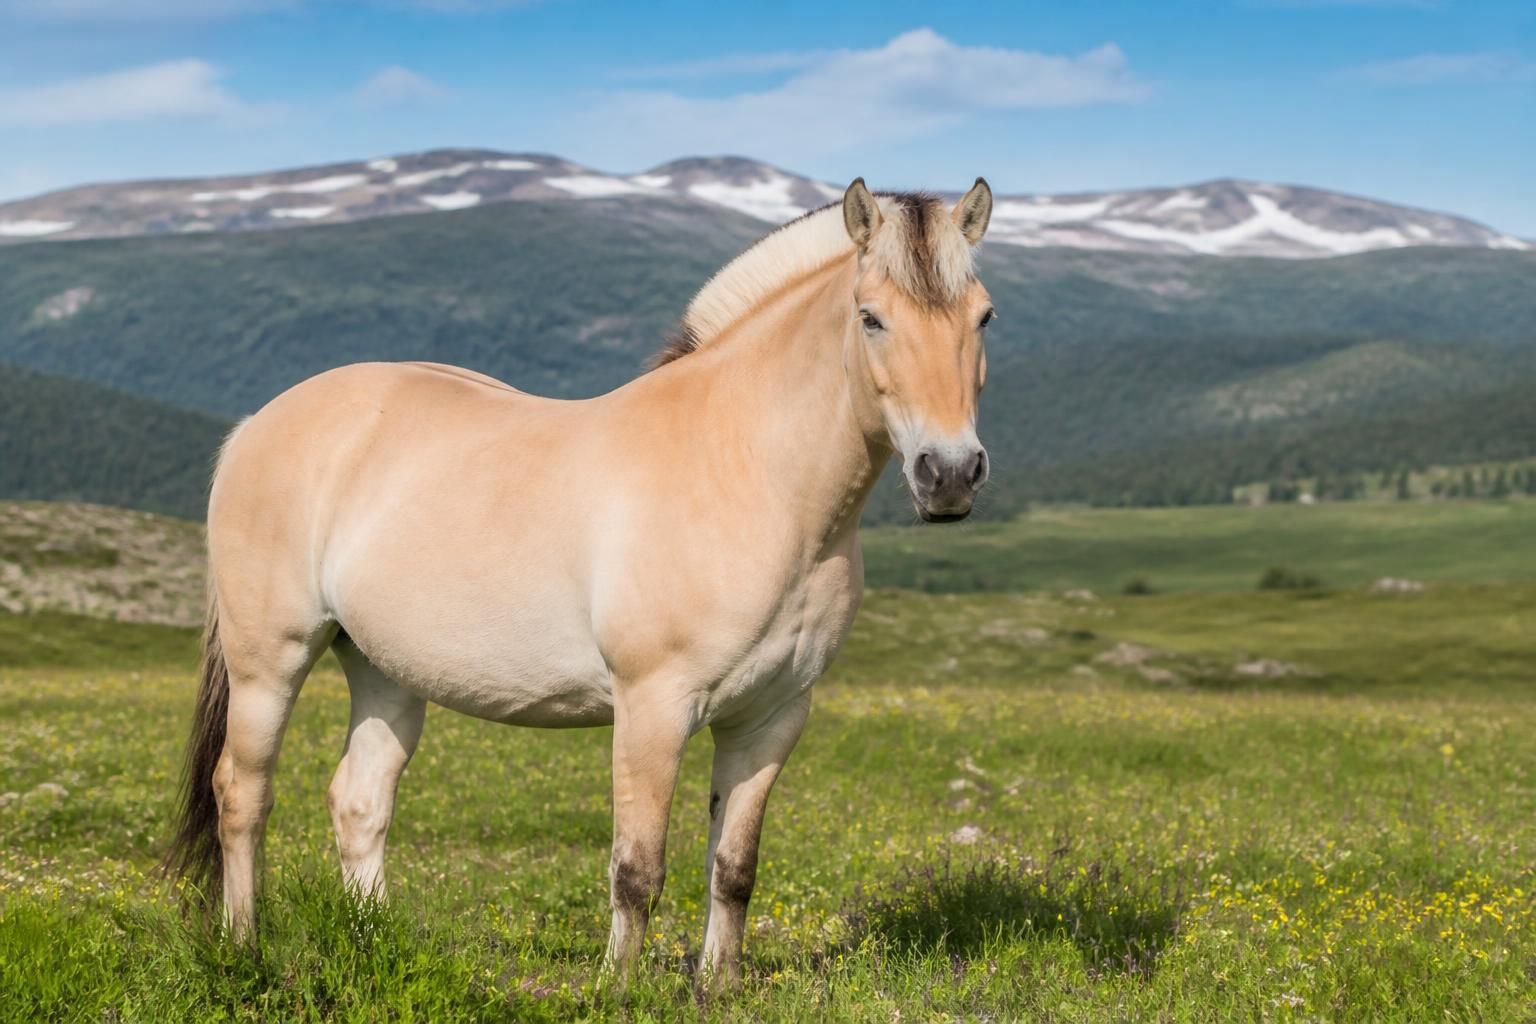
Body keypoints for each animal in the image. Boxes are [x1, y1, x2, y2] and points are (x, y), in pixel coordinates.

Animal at [165, 177, 996, 986]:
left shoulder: (771, 717)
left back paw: (373, 946)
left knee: (360, 801)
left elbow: (733, 868)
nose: (950, 475)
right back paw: (243, 951)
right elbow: (638, 870)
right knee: (242, 795)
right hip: (269, 661)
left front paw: (718, 986)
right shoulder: (653, 708)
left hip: (381, 667)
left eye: (983, 318)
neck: (745, 471)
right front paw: (618, 989)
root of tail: (257, 424)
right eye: (870, 318)